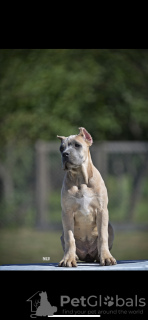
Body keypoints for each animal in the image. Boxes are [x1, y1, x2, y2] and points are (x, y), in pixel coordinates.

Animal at [57, 127, 116, 268]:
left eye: (77, 145)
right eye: (61, 148)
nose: (65, 154)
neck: (80, 178)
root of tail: (87, 254)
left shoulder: (102, 210)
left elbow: (103, 236)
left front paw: (106, 257)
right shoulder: (67, 213)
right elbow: (70, 238)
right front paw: (68, 259)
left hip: (111, 227)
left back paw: (99, 256)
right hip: (61, 234)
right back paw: (74, 256)